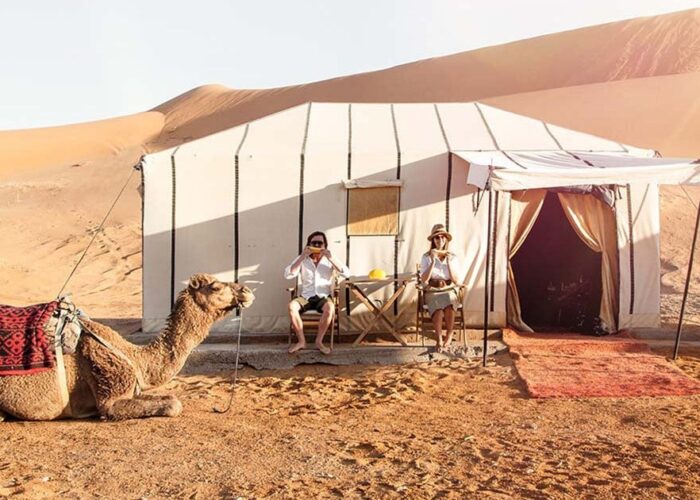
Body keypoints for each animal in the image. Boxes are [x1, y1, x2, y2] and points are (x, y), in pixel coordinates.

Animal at [0, 276, 254, 420]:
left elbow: (171, 398)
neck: (135, 357)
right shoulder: (110, 394)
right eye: (216, 286)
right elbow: (173, 405)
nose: (247, 291)